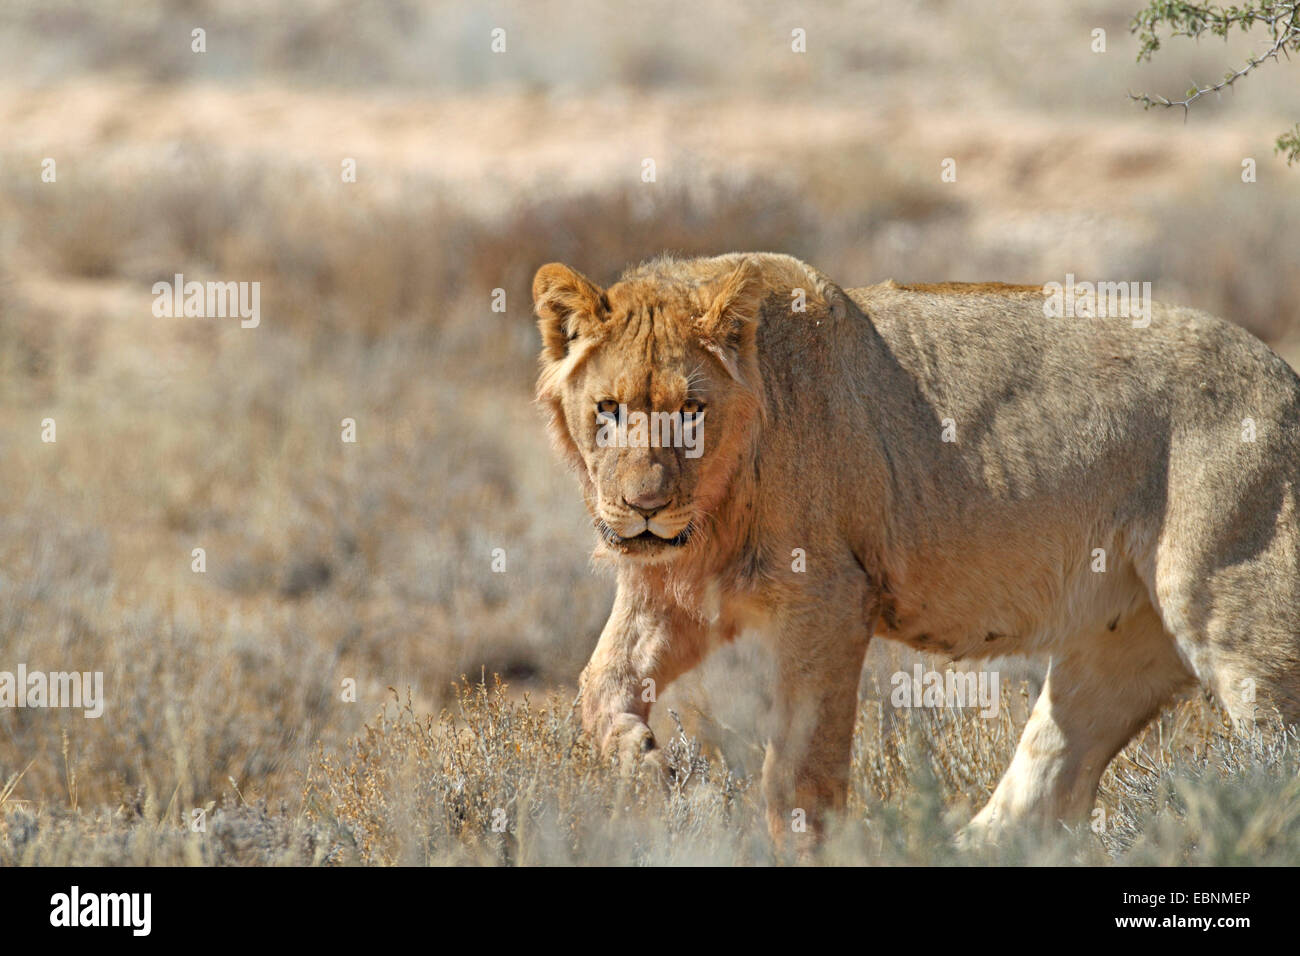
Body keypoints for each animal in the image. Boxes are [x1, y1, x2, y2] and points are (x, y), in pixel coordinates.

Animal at [527, 251, 1300, 842]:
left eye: (692, 413)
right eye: (608, 410)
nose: (644, 507)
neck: (713, 514)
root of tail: (1286, 377)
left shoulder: (830, 596)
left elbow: (798, 771)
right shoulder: (673, 594)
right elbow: (599, 682)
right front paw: (649, 769)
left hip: (1235, 617)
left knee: (1274, 756)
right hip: (1117, 648)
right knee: (1043, 784)